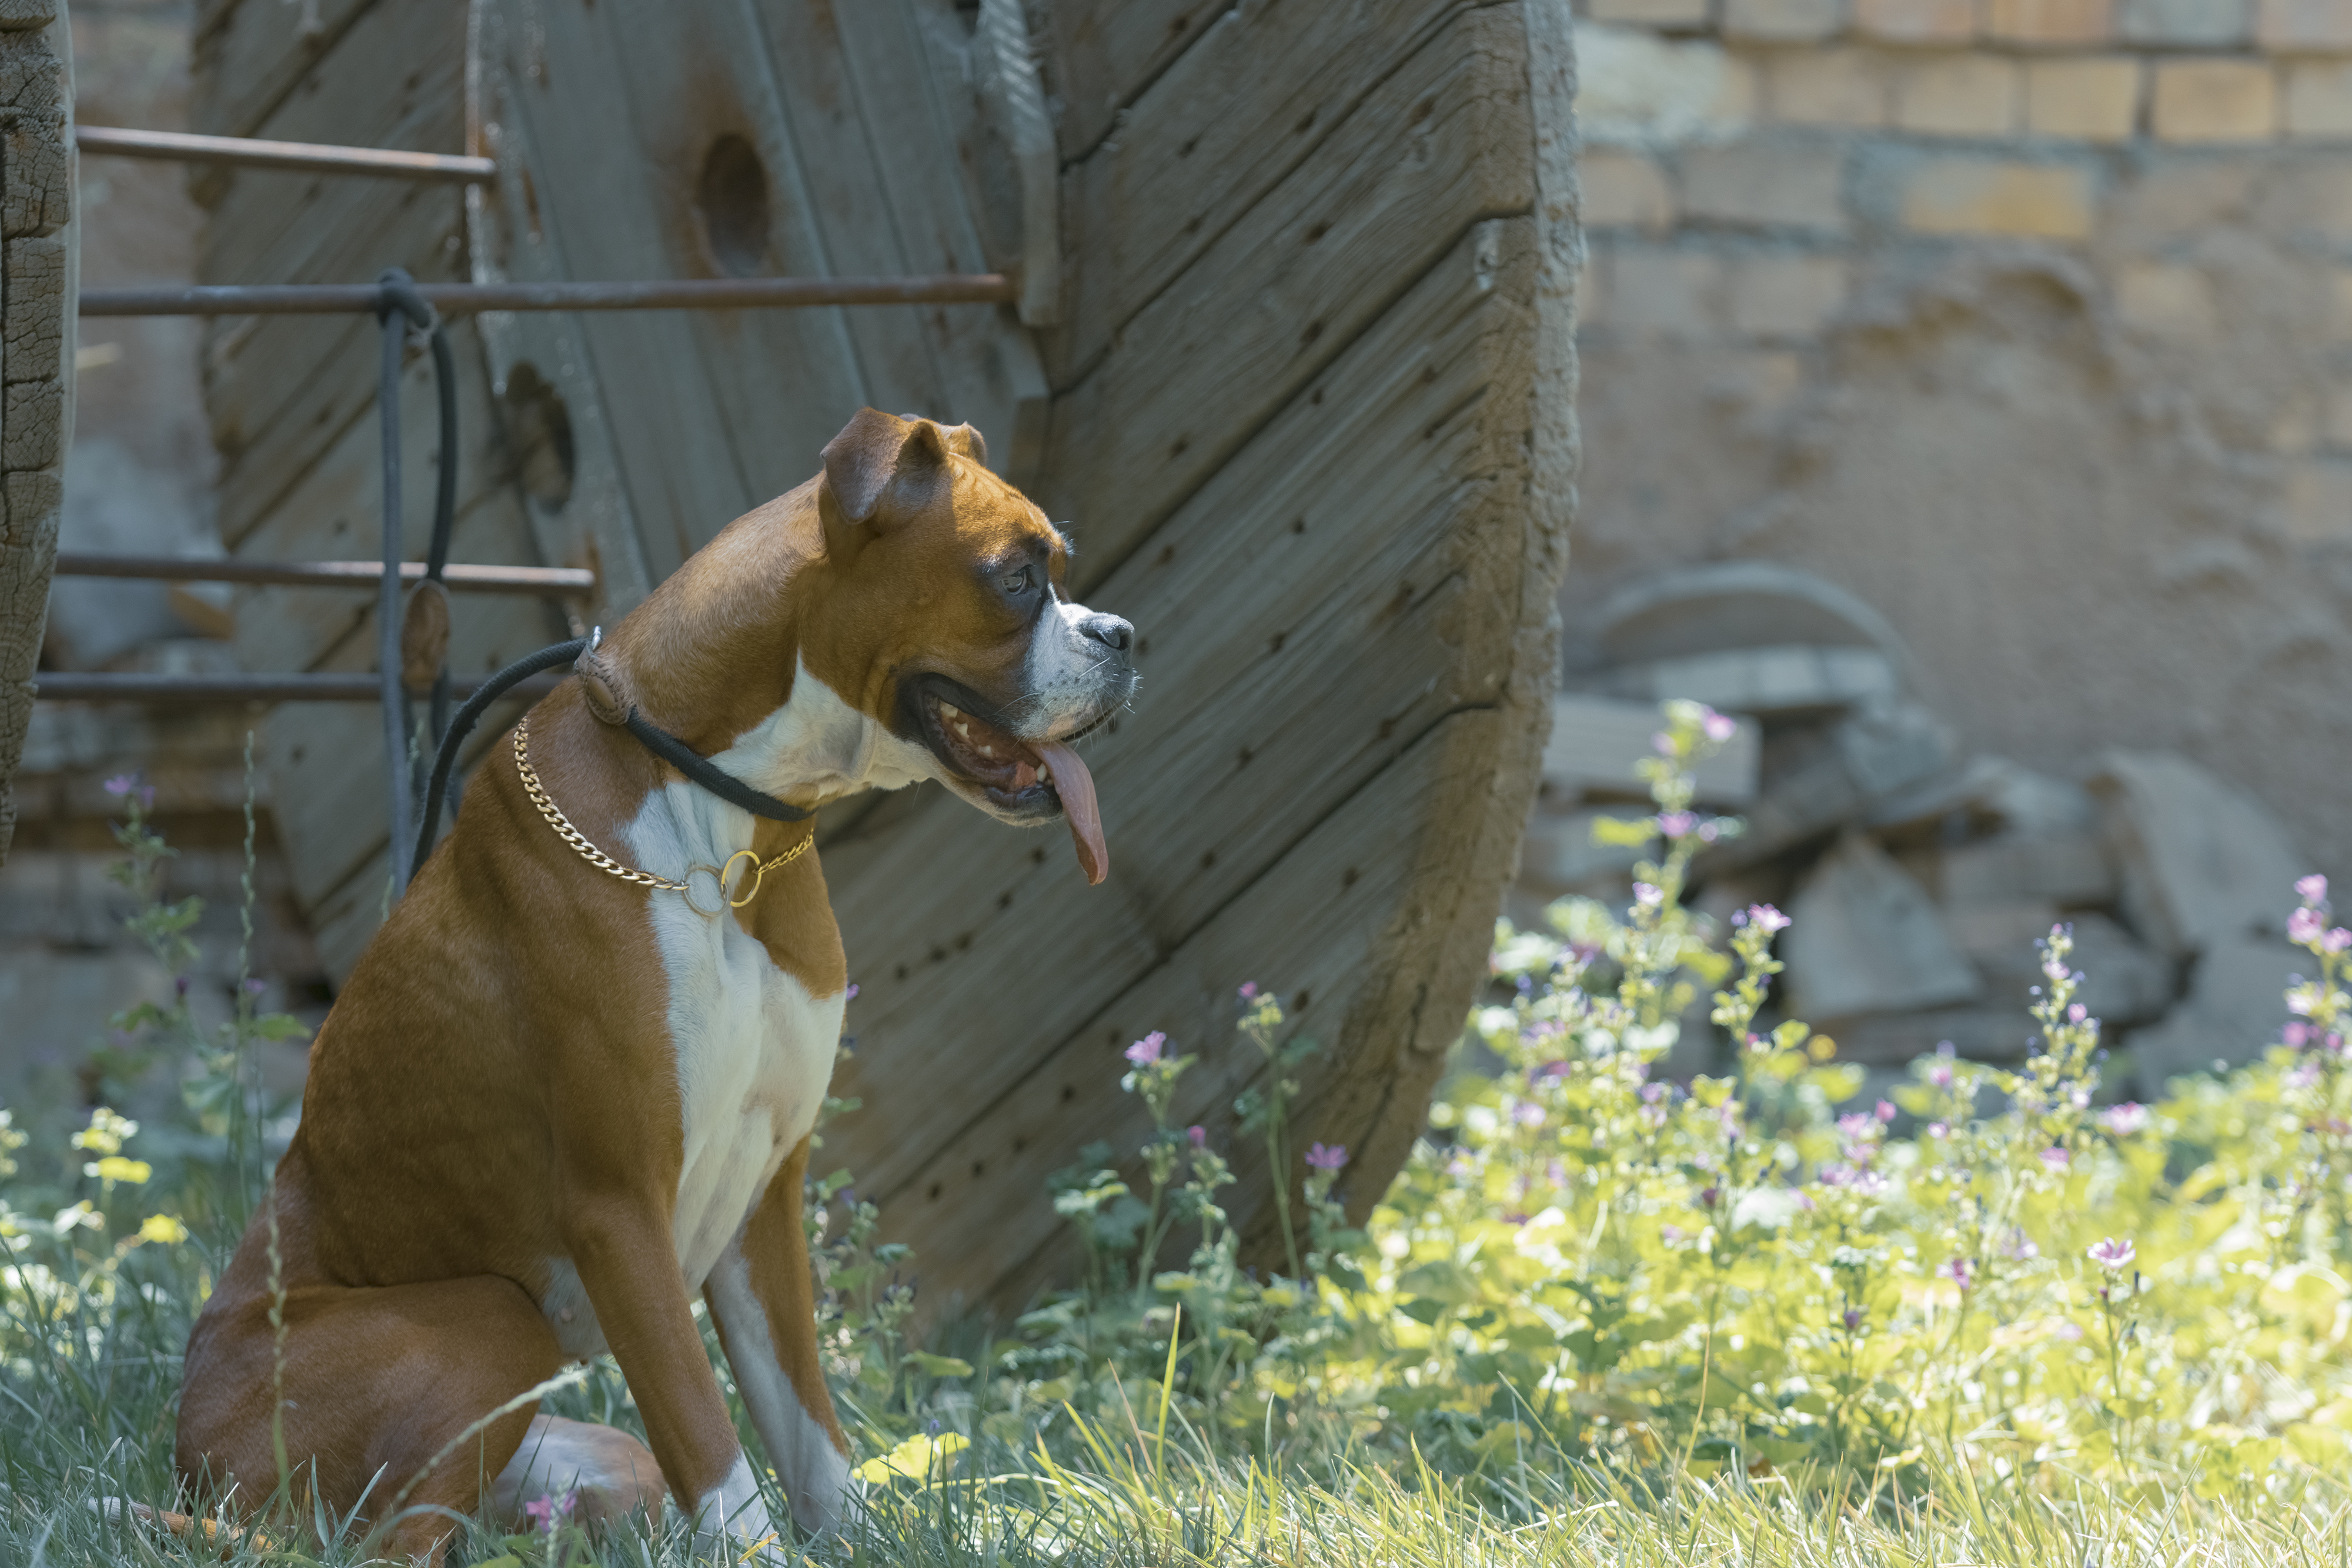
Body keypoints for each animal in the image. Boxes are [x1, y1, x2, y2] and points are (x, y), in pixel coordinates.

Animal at [176, 404, 1138, 1561]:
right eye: (1016, 578)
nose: (1124, 637)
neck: (723, 825)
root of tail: (187, 1463)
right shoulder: (618, 1210)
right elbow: (712, 1438)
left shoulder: (768, 1191)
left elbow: (805, 1425)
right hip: (492, 1324)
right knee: (385, 1541)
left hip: (587, 1457)